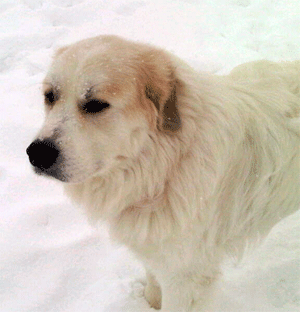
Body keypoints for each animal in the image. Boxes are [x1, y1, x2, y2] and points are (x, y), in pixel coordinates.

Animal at [26, 35, 300, 310]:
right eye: (50, 96)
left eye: (95, 105)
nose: (36, 153)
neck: (165, 168)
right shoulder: (154, 249)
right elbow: (152, 284)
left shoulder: (185, 278)